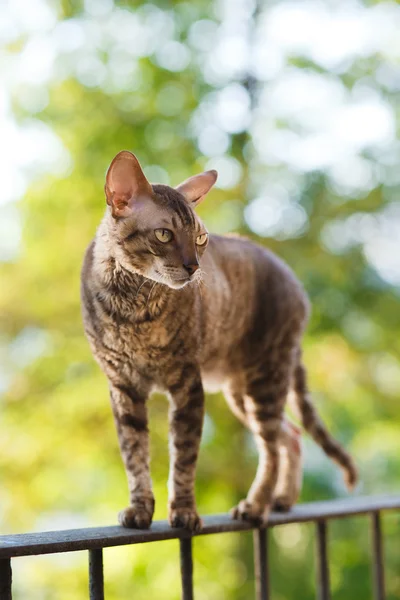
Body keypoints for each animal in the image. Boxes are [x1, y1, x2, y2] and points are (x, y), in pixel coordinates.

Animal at [80, 150, 356, 528]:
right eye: (164, 235)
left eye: (200, 239)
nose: (194, 267)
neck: (131, 307)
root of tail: (296, 283)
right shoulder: (123, 387)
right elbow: (134, 456)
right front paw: (140, 508)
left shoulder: (188, 385)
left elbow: (183, 457)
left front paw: (183, 511)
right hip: (242, 392)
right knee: (291, 435)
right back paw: (283, 498)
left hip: (265, 378)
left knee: (271, 446)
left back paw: (256, 505)